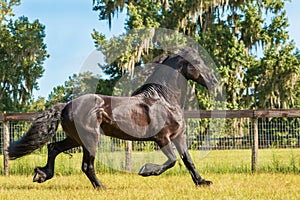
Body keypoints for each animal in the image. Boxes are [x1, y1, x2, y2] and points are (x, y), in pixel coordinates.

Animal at [7, 47, 218, 188]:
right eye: (198, 62)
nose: (214, 81)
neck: (165, 99)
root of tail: (66, 105)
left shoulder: (178, 136)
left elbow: (187, 160)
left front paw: (202, 182)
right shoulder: (161, 137)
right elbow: (173, 160)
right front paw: (146, 171)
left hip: (76, 139)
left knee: (53, 148)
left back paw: (42, 175)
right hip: (90, 139)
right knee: (86, 165)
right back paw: (101, 187)